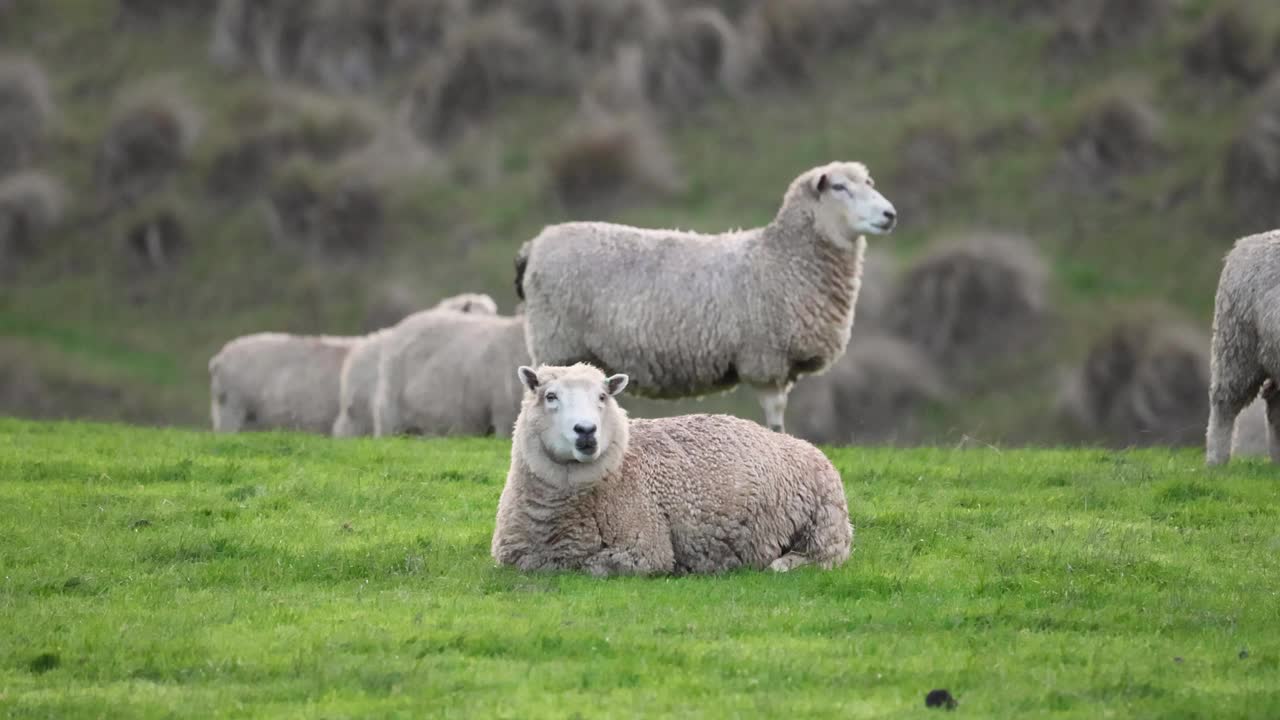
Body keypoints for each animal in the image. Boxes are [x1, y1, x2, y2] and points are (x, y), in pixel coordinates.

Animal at [494, 361, 855, 573]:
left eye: (602, 397)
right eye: (550, 396)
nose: (586, 431)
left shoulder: (645, 550)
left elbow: (592, 567)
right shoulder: (509, 556)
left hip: (824, 528)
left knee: (823, 557)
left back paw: (782, 564)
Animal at [514, 161, 896, 430]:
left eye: (869, 184)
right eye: (840, 187)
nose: (890, 214)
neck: (782, 258)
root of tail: (536, 244)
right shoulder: (764, 358)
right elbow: (775, 420)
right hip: (556, 341)